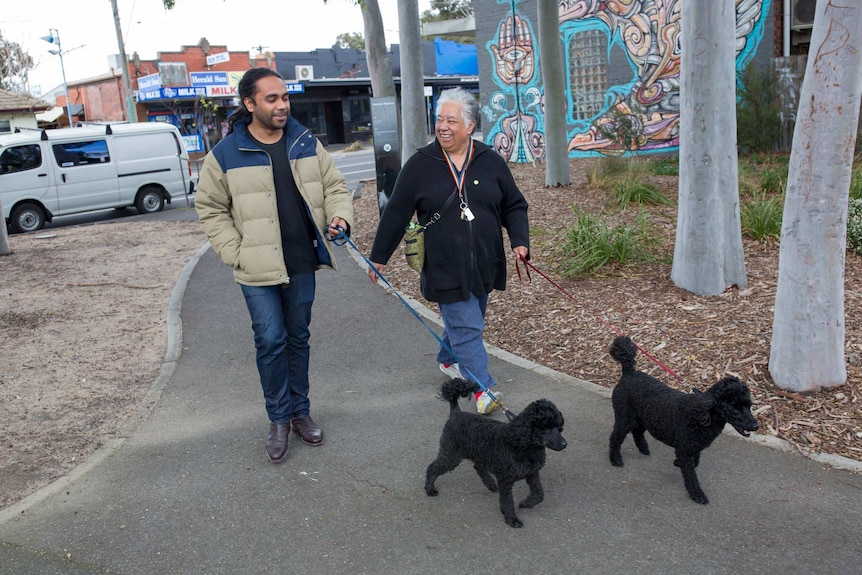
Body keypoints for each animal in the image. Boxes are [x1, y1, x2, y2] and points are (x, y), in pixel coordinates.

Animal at [424, 380, 568, 528]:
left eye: (558, 427)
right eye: (545, 428)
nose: (564, 444)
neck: (522, 445)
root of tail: (455, 413)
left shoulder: (532, 473)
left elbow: (539, 494)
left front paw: (526, 503)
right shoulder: (505, 480)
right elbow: (508, 501)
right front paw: (511, 519)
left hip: (479, 453)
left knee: (478, 466)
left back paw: (490, 484)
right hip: (452, 454)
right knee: (432, 467)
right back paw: (429, 488)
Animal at [612, 336, 760, 506]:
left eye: (749, 405)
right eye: (735, 408)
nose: (756, 426)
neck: (704, 415)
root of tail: (628, 372)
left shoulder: (693, 448)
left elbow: (695, 462)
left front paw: (677, 463)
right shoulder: (685, 449)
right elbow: (690, 475)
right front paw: (697, 494)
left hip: (643, 417)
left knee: (637, 432)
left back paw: (643, 449)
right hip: (624, 418)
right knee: (615, 438)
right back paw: (615, 459)